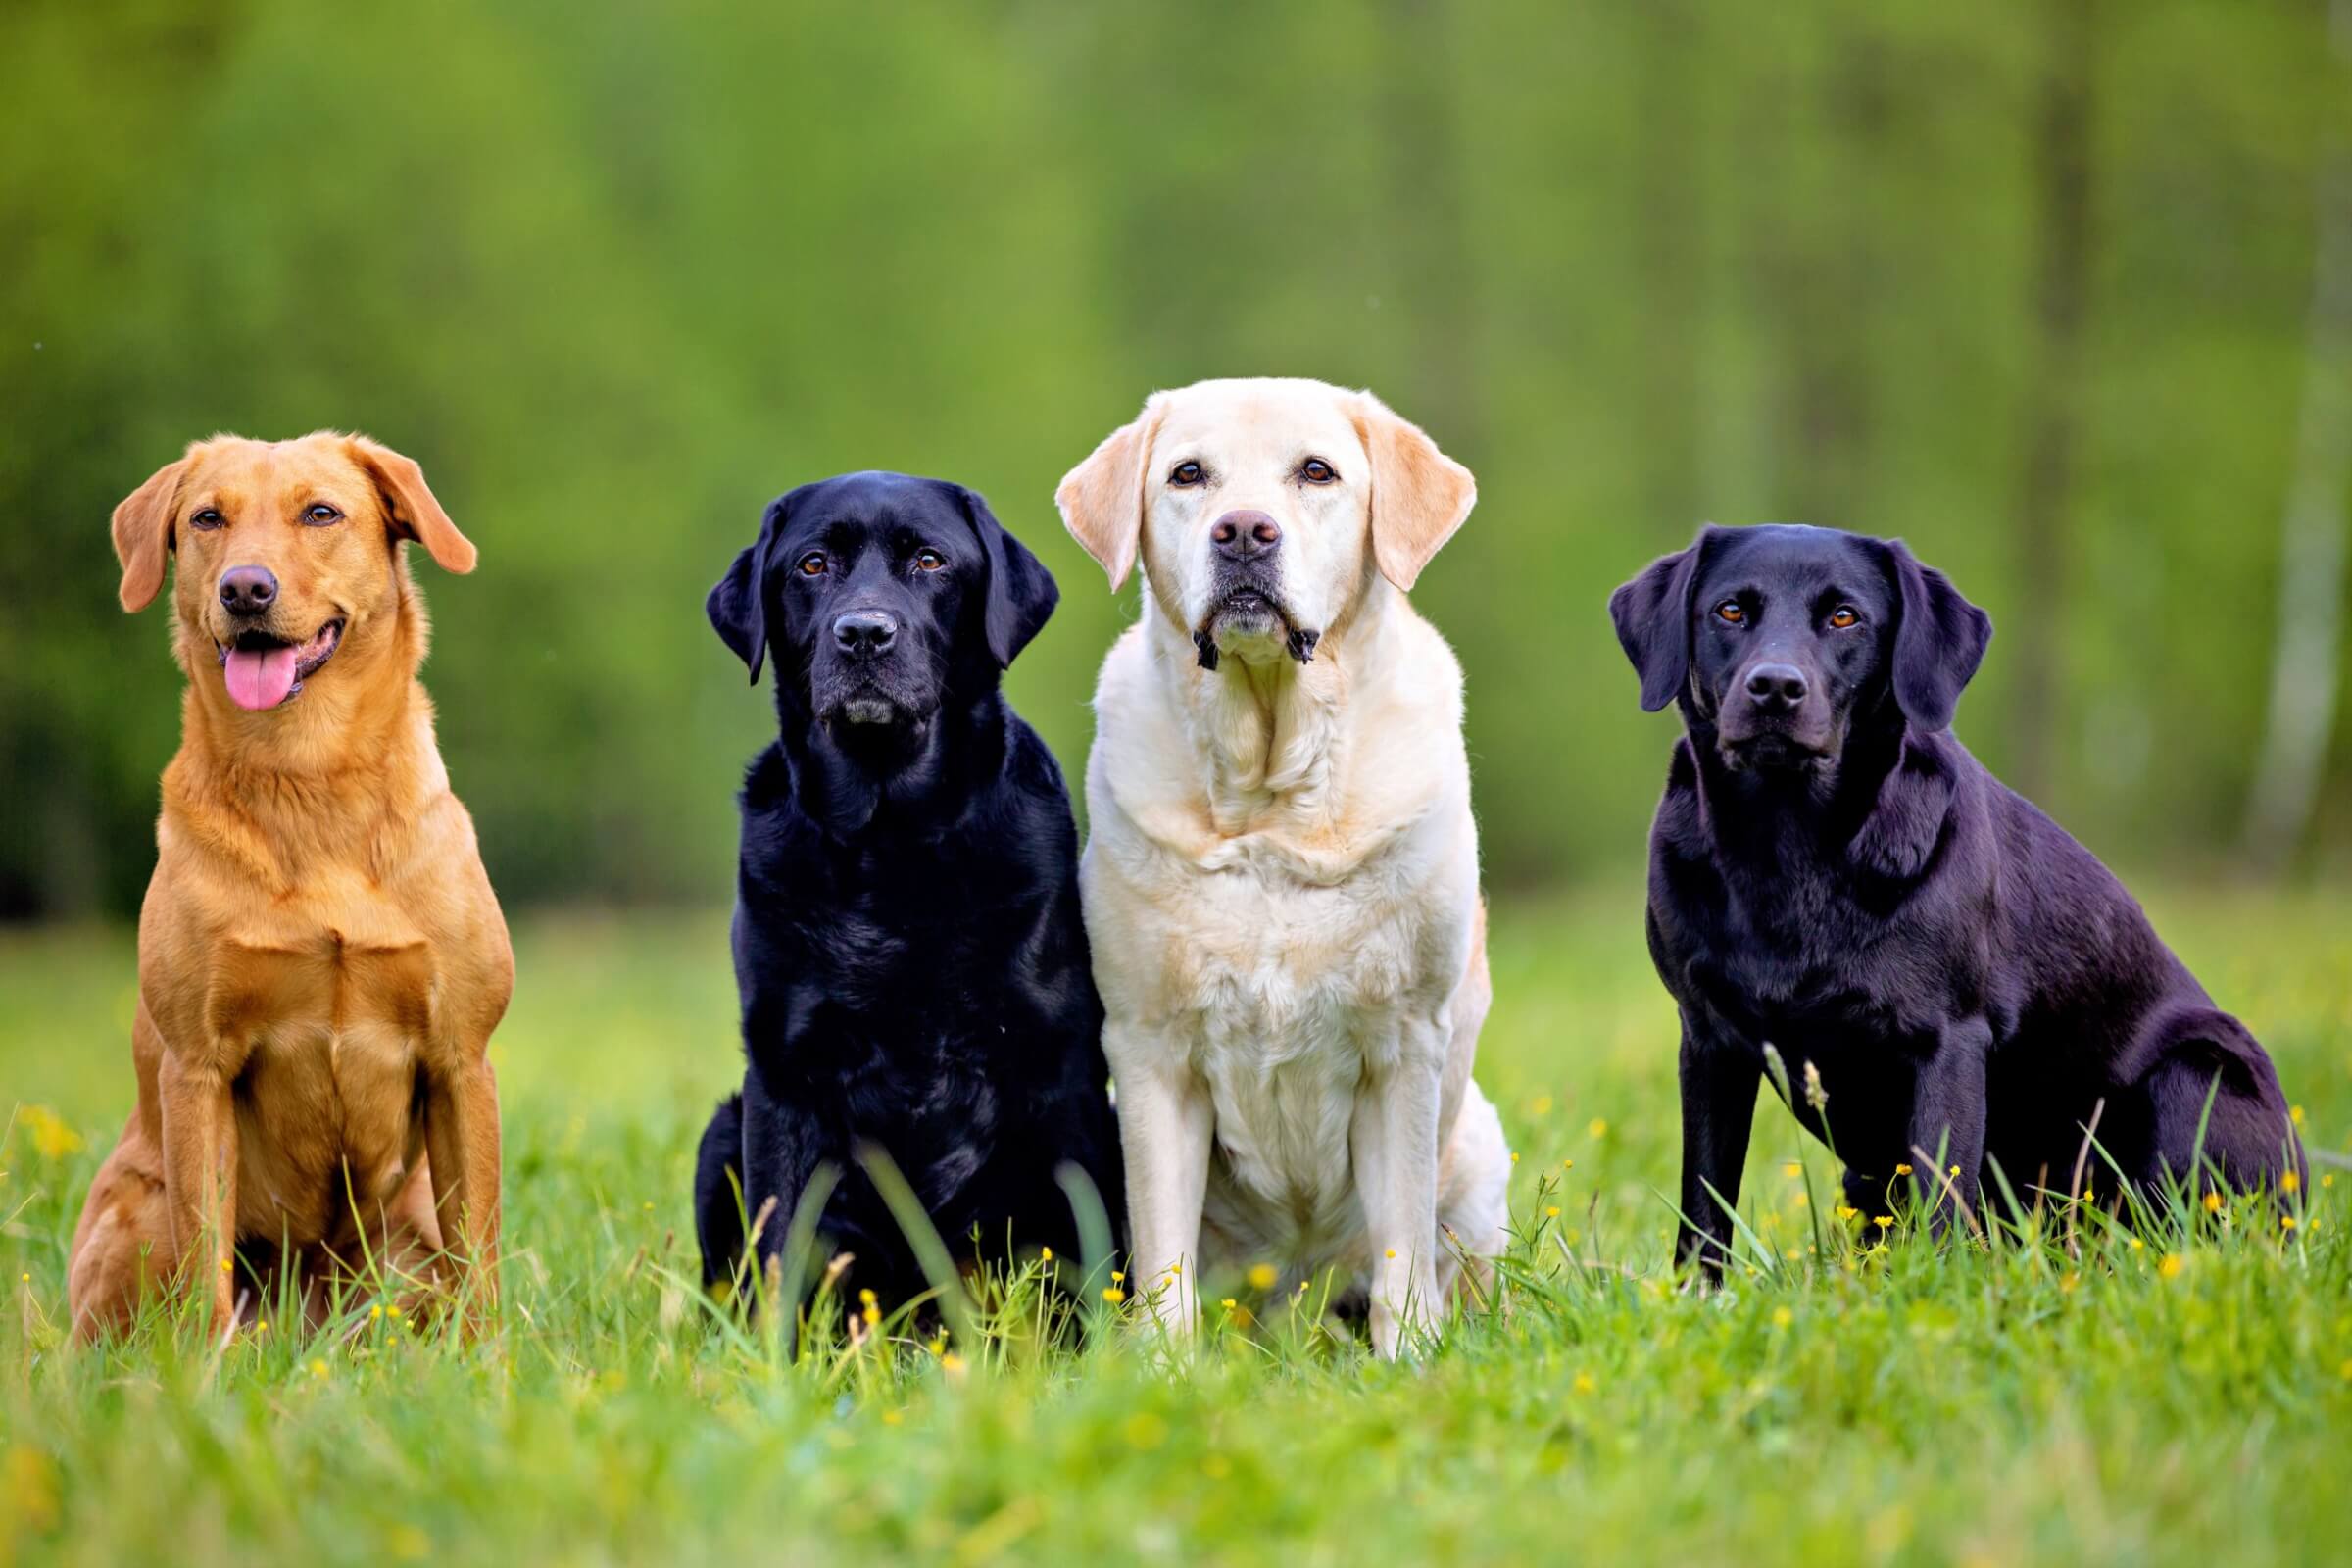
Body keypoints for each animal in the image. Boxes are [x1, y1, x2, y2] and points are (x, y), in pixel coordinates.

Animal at [691, 472, 1124, 1316]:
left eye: (929, 560)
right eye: (813, 564)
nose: (864, 634)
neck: (890, 846)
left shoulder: (1060, 1067)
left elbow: (1085, 1248)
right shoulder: (783, 1077)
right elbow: (778, 1245)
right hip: (722, 1129)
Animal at [1608, 526, 2305, 1278]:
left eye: (1846, 617)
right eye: (1731, 611)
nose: (1774, 687)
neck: (1788, 851)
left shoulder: (1947, 1038)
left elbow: (1942, 1196)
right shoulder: (1709, 1041)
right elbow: (1704, 1204)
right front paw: (1697, 1296)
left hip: (2194, 1076)